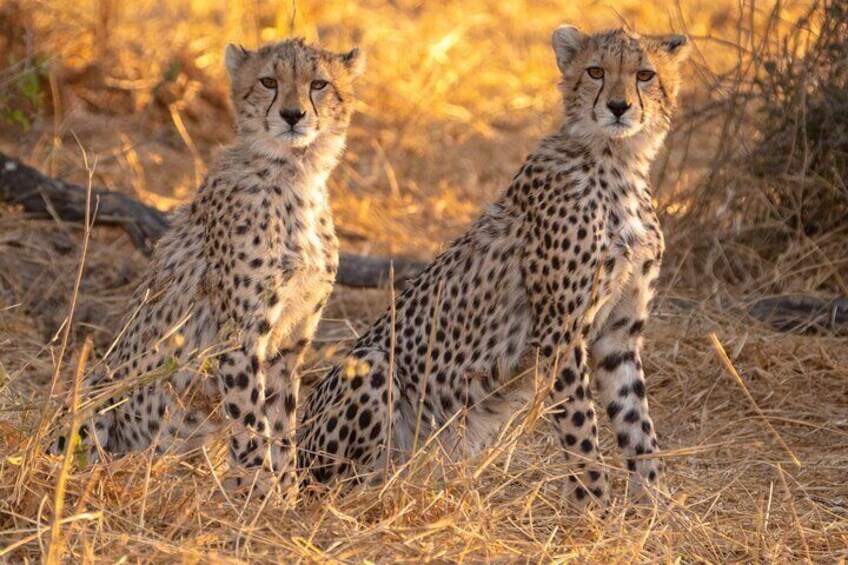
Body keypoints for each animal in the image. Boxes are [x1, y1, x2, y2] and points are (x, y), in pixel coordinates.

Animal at [50, 38, 364, 498]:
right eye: (268, 82)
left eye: (318, 84)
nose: (292, 115)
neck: (296, 176)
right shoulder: (240, 339)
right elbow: (252, 421)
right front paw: (256, 491)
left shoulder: (289, 343)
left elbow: (282, 425)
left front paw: (285, 496)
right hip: (98, 387)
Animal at [302, 25, 692, 506]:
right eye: (596, 71)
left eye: (645, 74)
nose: (619, 107)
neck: (618, 161)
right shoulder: (559, 334)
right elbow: (581, 429)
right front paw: (594, 508)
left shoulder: (619, 334)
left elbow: (637, 424)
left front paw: (656, 505)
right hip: (372, 367)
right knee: (336, 482)